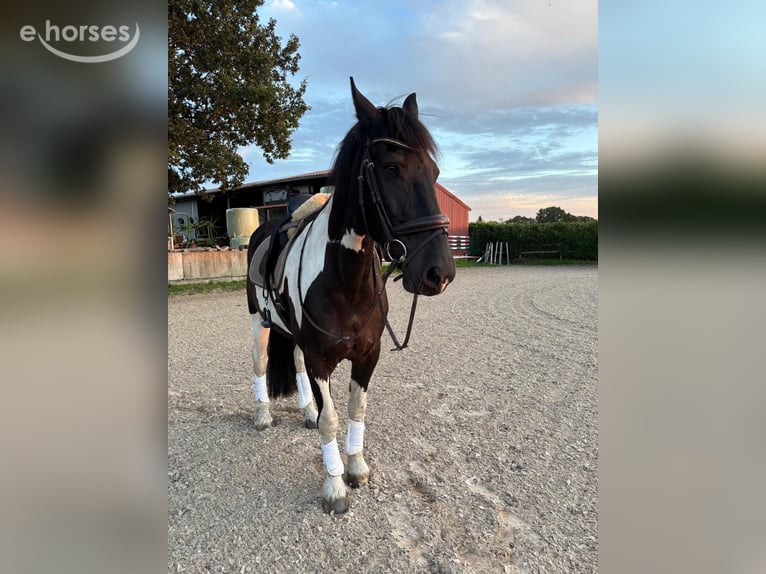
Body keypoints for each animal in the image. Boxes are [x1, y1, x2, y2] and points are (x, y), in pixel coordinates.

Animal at [245, 77, 456, 514]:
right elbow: (332, 419)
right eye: (392, 168)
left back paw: (306, 410)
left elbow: (357, 409)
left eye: (433, 171)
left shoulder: (367, 355)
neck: (346, 282)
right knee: (260, 362)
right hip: (259, 320)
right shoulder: (321, 359)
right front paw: (334, 487)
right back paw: (263, 416)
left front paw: (356, 467)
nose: (439, 273)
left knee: (292, 361)